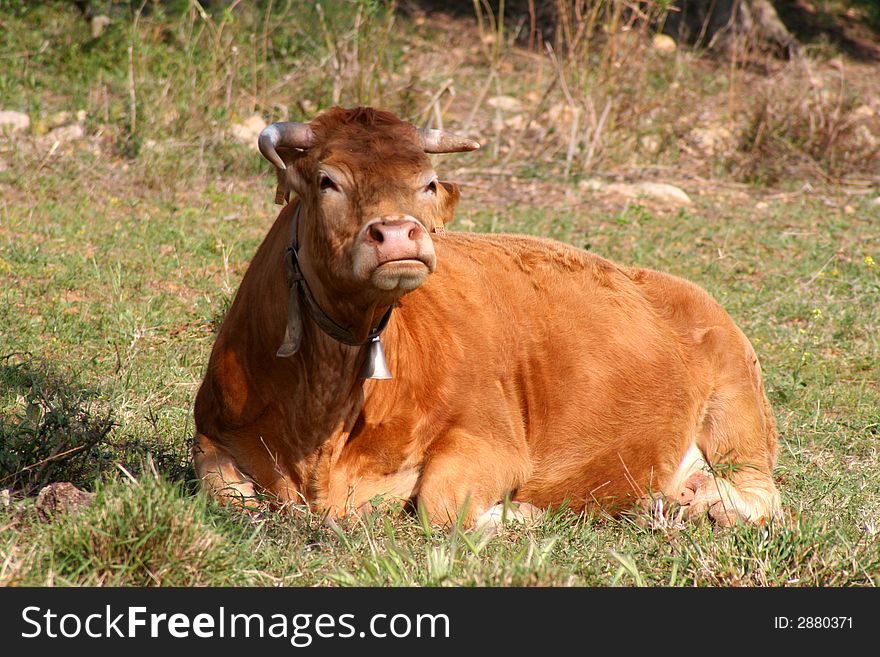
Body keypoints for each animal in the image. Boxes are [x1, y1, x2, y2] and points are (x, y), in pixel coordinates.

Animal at [191, 107, 776, 528]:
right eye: (327, 180)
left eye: (427, 183)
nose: (398, 233)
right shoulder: (211, 434)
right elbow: (224, 494)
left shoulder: (491, 437)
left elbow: (441, 505)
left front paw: (520, 513)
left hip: (739, 413)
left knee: (764, 498)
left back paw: (705, 503)